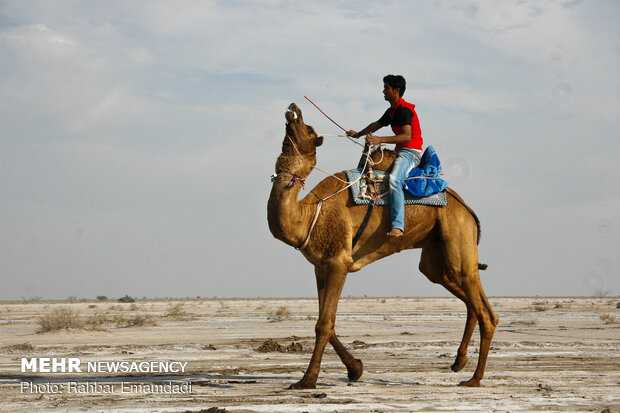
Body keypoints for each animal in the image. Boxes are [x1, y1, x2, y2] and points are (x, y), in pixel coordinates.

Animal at [266, 102, 498, 386]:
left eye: (308, 128)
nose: (293, 108)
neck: (310, 213)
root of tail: (466, 208)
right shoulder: (320, 266)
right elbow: (327, 323)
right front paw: (355, 368)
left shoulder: (338, 263)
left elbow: (324, 324)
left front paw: (307, 380)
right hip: (437, 249)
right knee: (457, 290)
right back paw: (459, 361)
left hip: (458, 234)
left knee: (482, 306)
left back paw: (475, 378)